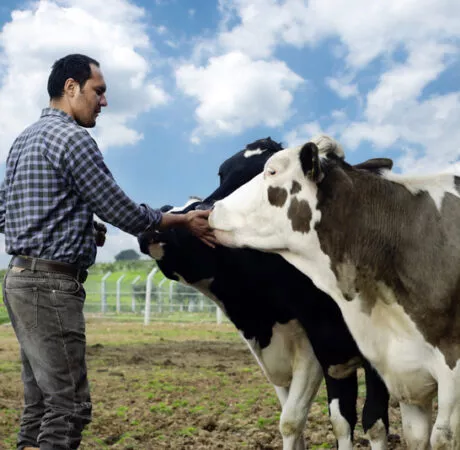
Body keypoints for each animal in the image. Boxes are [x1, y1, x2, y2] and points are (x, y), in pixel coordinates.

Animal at [140, 138, 392, 450]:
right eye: (222, 173)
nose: (152, 224)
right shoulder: (324, 351)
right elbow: (330, 420)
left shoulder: (321, 352)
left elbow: (367, 422)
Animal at [210, 136, 460, 450]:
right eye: (221, 172)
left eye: (271, 170)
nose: (213, 209)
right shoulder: (402, 370)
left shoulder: (451, 372)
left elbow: (440, 437)